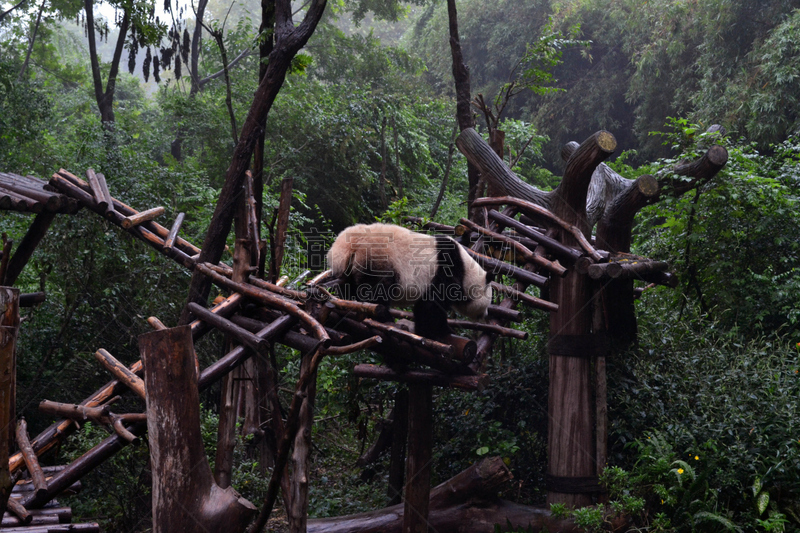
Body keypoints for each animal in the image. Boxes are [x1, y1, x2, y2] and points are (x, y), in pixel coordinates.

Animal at [326, 222, 490, 338]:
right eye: (488, 303)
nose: (486, 315)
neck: (466, 271)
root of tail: (347, 245)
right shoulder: (445, 271)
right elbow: (432, 306)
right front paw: (439, 331)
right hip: (378, 259)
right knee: (376, 290)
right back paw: (384, 317)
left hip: (351, 268)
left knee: (349, 288)